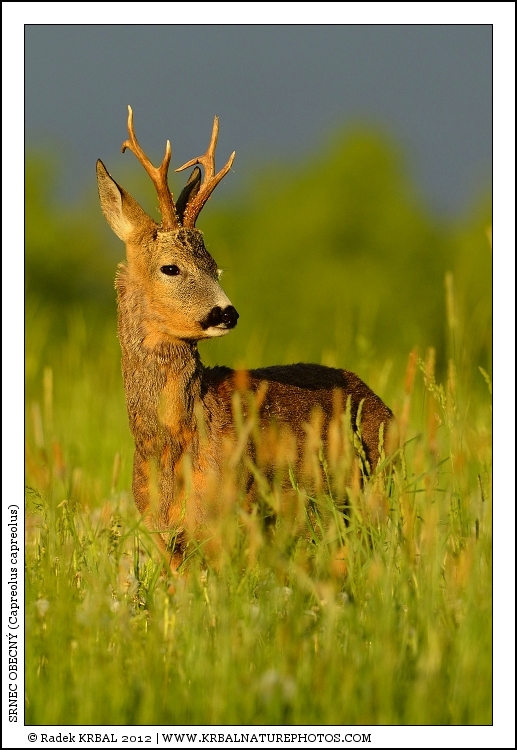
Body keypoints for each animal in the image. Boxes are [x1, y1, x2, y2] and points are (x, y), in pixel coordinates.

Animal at [96, 106, 393, 572]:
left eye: (216, 266)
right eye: (170, 267)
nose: (227, 312)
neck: (172, 444)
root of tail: (385, 406)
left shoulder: (234, 516)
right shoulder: (165, 537)